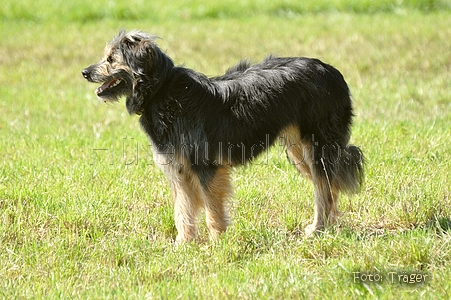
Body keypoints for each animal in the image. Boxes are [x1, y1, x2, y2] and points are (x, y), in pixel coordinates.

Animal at [82, 29, 364, 243]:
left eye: (111, 59)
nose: (84, 72)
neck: (160, 90)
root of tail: (332, 71)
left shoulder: (206, 166)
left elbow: (212, 209)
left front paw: (218, 242)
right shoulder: (179, 170)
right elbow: (182, 210)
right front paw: (183, 244)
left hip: (317, 146)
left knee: (324, 189)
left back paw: (317, 230)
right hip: (298, 149)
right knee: (329, 187)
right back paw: (327, 227)